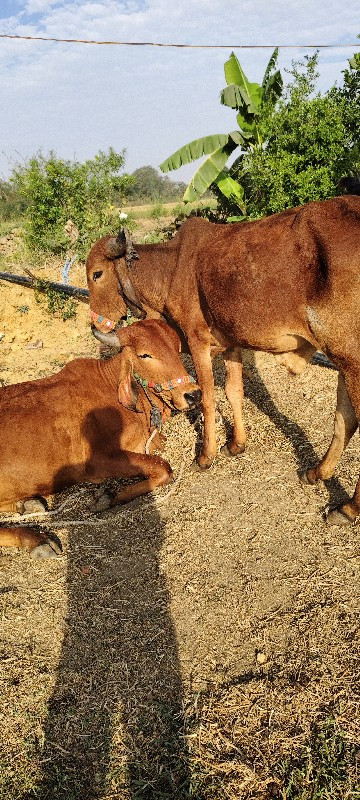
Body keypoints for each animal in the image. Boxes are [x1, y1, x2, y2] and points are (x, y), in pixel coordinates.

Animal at [0, 318, 200, 556]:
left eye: (177, 348)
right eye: (145, 355)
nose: (193, 394)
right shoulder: (97, 462)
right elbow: (163, 468)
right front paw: (109, 496)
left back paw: (27, 503)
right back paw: (35, 539)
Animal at [86, 195, 360, 524]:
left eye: (97, 274)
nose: (95, 322)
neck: (170, 267)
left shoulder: (198, 341)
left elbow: (206, 398)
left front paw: (206, 456)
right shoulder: (231, 344)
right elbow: (234, 391)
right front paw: (237, 443)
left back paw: (348, 507)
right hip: (343, 361)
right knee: (345, 420)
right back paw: (318, 472)